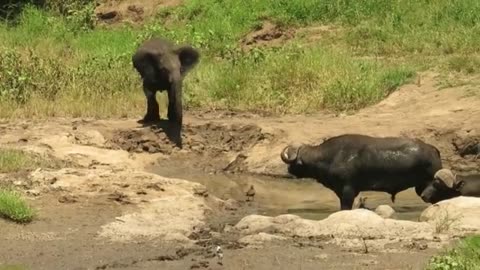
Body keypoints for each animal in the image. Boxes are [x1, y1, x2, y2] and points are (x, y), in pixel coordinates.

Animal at [282, 134, 442, 210]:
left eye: (296, 163)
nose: (288, 169)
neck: (331, 156)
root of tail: (432, 149)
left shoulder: (348, 190)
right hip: (420, 188)